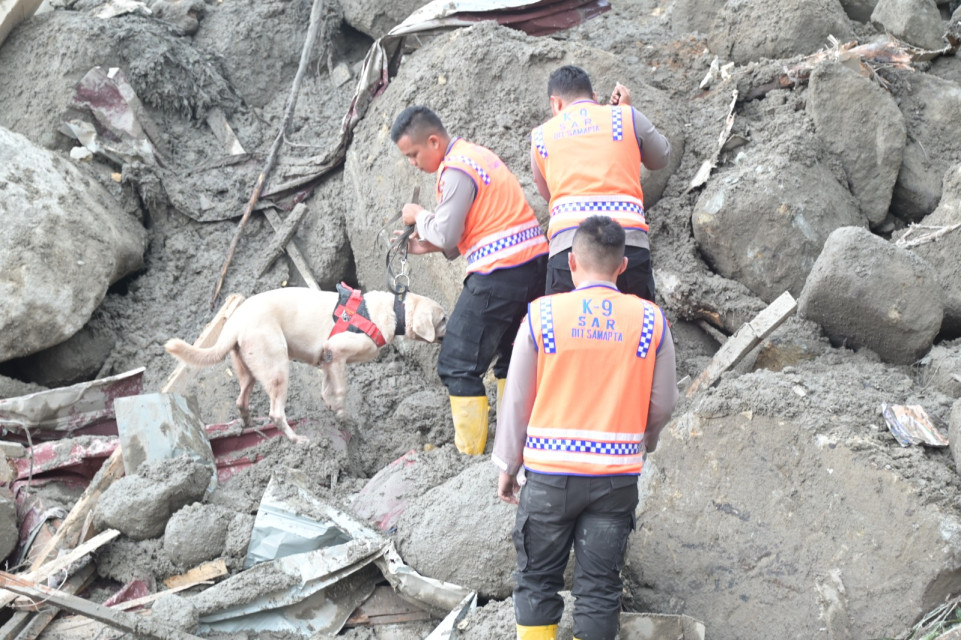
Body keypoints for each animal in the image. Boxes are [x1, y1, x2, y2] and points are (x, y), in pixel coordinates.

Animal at [165, 288, 446, 442]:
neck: (395, 310)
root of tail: (235, 321)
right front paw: (343, 417)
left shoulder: (326, 359)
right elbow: (341, 391)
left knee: (241, 401)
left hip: (248, 370)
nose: (452, 324)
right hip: (278, 365)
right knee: (276, 413)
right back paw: (297, 440)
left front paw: (332, 408)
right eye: (443, 319)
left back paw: (251, 426)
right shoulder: (336, 351)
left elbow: (326, 389)